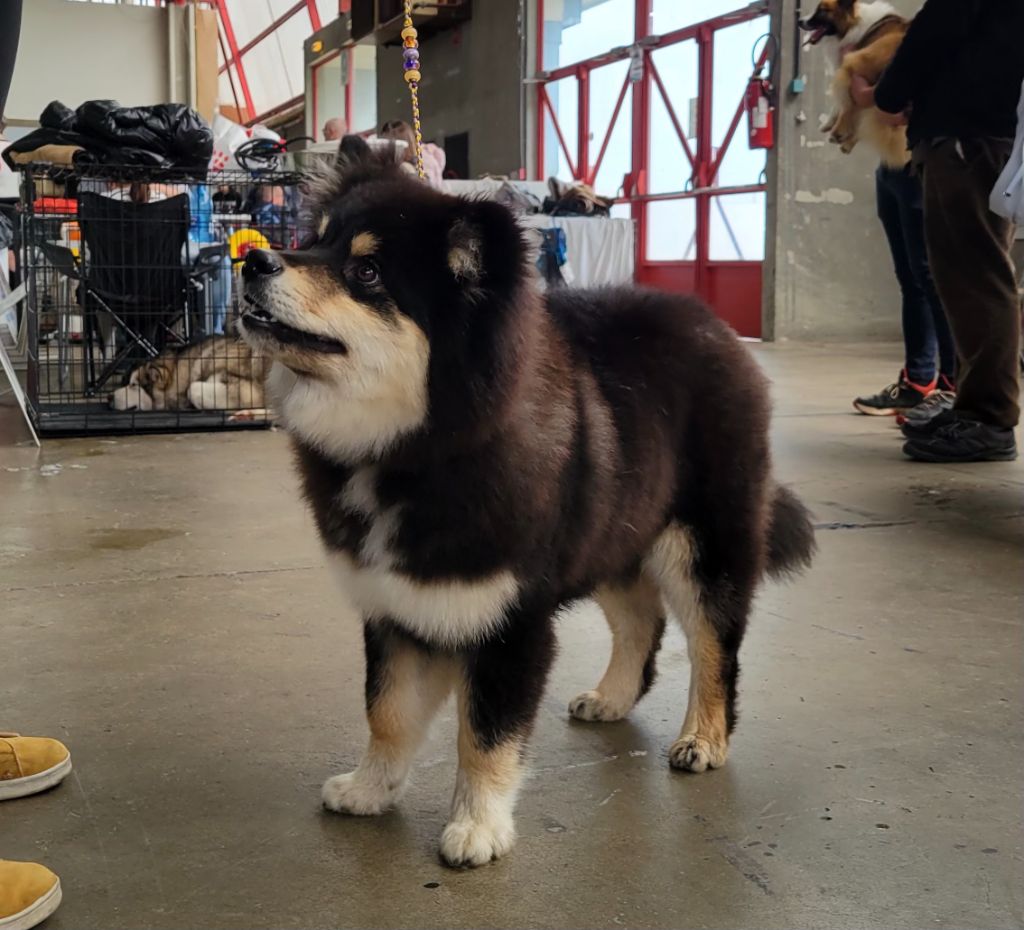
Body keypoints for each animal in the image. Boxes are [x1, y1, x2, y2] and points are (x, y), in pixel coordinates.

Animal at [235, 141, 811, 868]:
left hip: (705, 545)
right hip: (613, 531)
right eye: (315, 241)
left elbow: (484, 734)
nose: (254, 261)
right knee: (642, 623)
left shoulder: (509, 619)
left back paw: (704, 737)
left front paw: (478, 827)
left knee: (715, 647)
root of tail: (718, 329)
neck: (419, 443)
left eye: (366, 271)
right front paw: (371, 789)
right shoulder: (396, 606)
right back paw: (612, 697)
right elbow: (387, 712)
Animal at [798, 0, 913, 164]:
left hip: (855, 61)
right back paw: (847, 142)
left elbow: (840, 104)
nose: (800, 21)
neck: (852, 24)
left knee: (851, 106)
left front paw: (829, 123)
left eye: (823, 11)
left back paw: (838, 132)